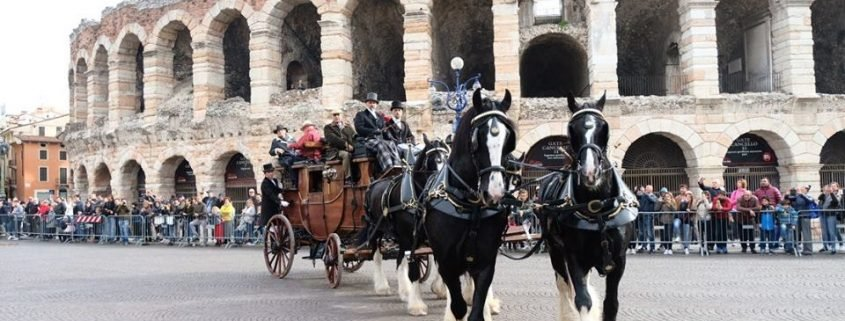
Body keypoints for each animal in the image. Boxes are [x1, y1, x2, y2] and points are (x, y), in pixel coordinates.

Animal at [362, 134, 448, 314]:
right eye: (434, 159)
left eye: (447, 158)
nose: (442, 187)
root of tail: (372, 184)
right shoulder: (410, 237)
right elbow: (413, 270)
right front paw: (416, 305)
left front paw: (440, 289)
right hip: (376, 229)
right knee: (377, 255)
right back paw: (382, 287)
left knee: (399, 259)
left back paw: (404, 291)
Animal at [422, 89, 516, 320]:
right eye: (477, 139)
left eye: (508, 139)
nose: (494, 192)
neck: (469, 205)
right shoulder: (447, 262)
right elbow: (459, 307)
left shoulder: (485, 262)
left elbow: (476, 309)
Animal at [536, 93, 636, 320]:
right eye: (572, 129)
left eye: (604, 127)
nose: (590, 173)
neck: (597, 208)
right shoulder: (574, 257)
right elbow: (583, 301)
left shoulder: (619, 261)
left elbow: (611, 304)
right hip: (555, 249)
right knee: (564, 287)